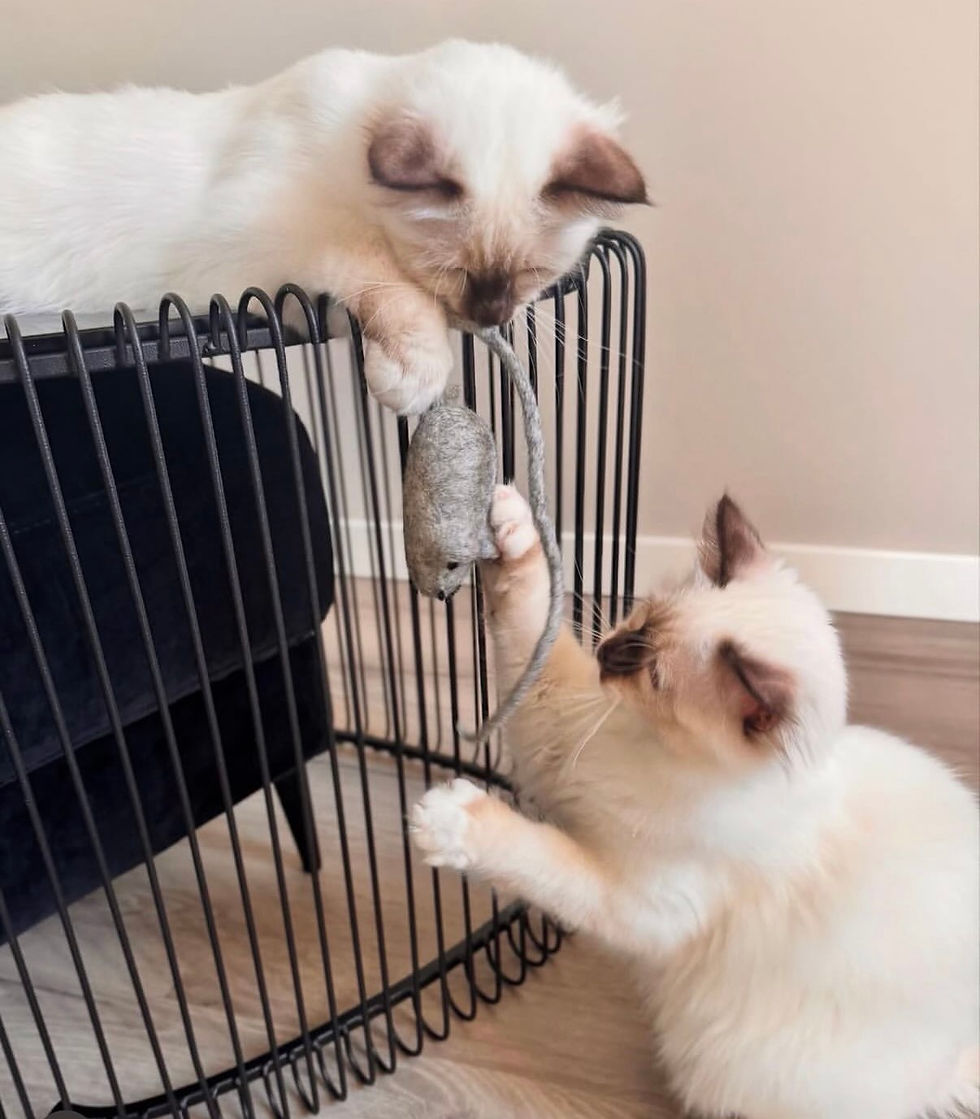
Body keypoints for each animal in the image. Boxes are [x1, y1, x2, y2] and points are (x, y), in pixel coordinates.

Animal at [0, 40, 646, 414]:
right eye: (453, 270)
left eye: (533, 272)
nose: (488, 315)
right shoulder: (259, 234)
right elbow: (381, 275)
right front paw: (410, 377)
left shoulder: (282, 285)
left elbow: (333, 306)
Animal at [412, 485, 980, 1119]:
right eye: (643, 617)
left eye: (654, 676)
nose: (608, 652)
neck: (660, 754)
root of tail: (949, 1066)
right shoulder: (562, 722)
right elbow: (534, 614)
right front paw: (512, 523)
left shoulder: (642, 903)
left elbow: (540, 859)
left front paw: (449, 821)